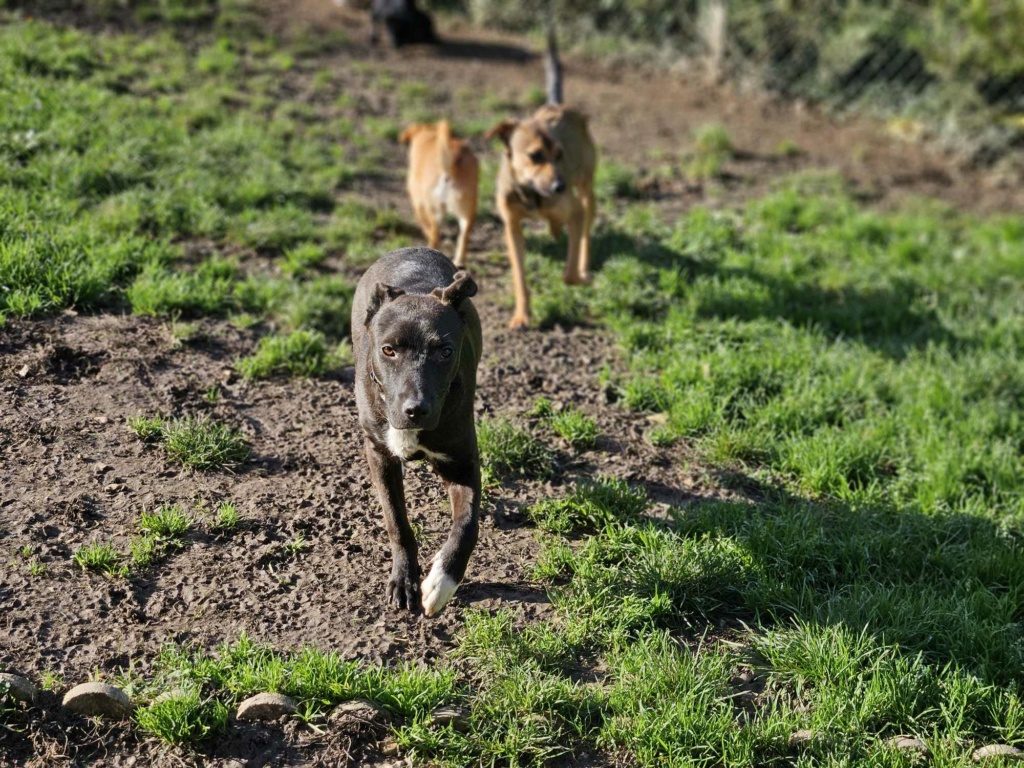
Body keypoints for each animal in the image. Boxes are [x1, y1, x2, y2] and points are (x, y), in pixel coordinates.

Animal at [350, 246, 481, 618]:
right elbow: (397, 521)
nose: (416, 409)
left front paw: (441, 582)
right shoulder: (379, 454)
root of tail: (411, 248)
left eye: (445, 351)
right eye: (388, 350)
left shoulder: (462, 462)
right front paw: (404, 579)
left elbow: (468, 524)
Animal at [399, 120, 479, 270]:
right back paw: (459, 261)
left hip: (434, 210)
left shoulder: (418, 203)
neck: (430, 132)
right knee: (464, 236)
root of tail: (453, 161)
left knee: (435, 236)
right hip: (468, 209)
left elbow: (425, 226)